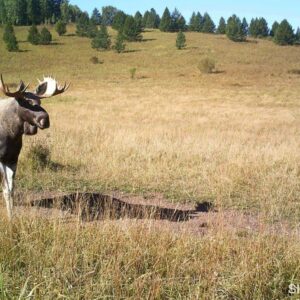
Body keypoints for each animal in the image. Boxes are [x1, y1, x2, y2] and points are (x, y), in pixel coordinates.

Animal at [0, 75, 68, 219]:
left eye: (40, 102)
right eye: (28, 101)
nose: (45, 120)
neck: (12, 134)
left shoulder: (13, 158)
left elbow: (11, 189)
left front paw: (12, 215)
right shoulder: (1, 159)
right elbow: (6, 190)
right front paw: (10, 218)